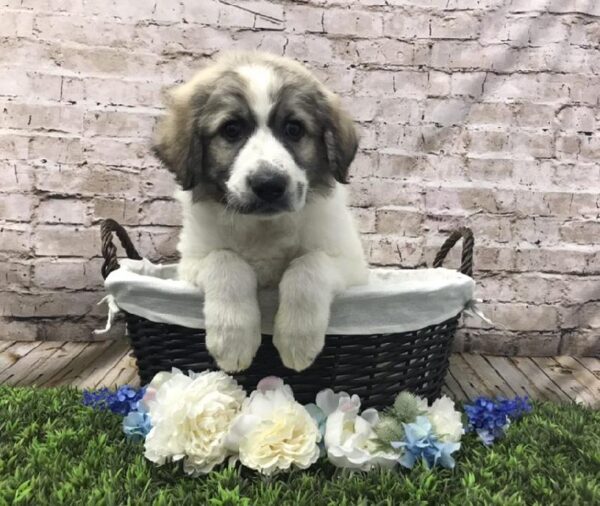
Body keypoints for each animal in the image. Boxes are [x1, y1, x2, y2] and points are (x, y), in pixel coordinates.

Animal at [152, 51, 368, 374]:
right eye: (231, 130)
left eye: (294, 129)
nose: (269, 185)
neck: (263, 228)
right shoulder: (192, 261)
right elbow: (226, 260)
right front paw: (232, 341)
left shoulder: (352, 264)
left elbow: (308, 265)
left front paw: (297, 340)